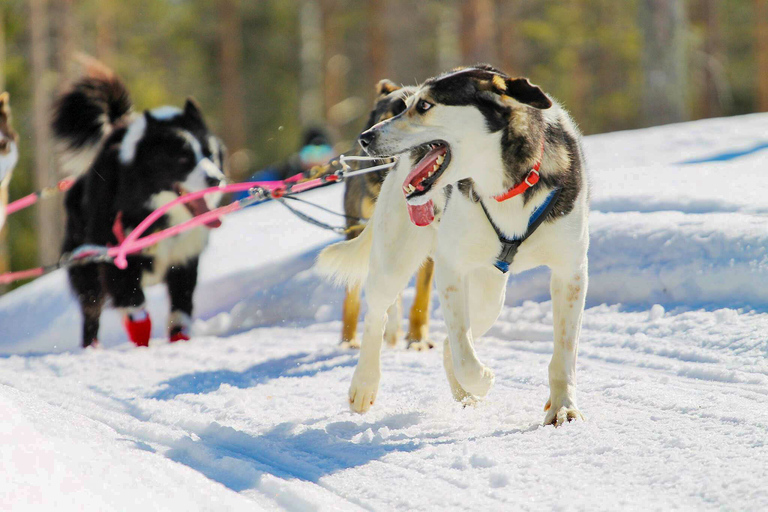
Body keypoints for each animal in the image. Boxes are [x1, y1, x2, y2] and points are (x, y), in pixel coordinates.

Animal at [53, 63, 226, 348]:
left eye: (210, 154)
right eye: (183, 159)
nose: (216, 179)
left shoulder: (184, 262)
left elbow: (180, 311)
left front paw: (180, 341)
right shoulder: (117, 262)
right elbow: (136, 310)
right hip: (86, 270)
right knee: (91, 312)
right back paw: (91, 348)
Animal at [316, 66, 588, 426]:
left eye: (424, 106)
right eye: (406, 105)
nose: (365, 137)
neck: (505, 190)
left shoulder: (570, 273)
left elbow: (564, 353)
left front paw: (563, 407)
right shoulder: (450, 269)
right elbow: (464, 354)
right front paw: (482, 379)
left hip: (489, 296)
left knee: (449, 342)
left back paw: (463, 395)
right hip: (393, 265)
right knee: (378, 318)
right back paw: (364, 384)